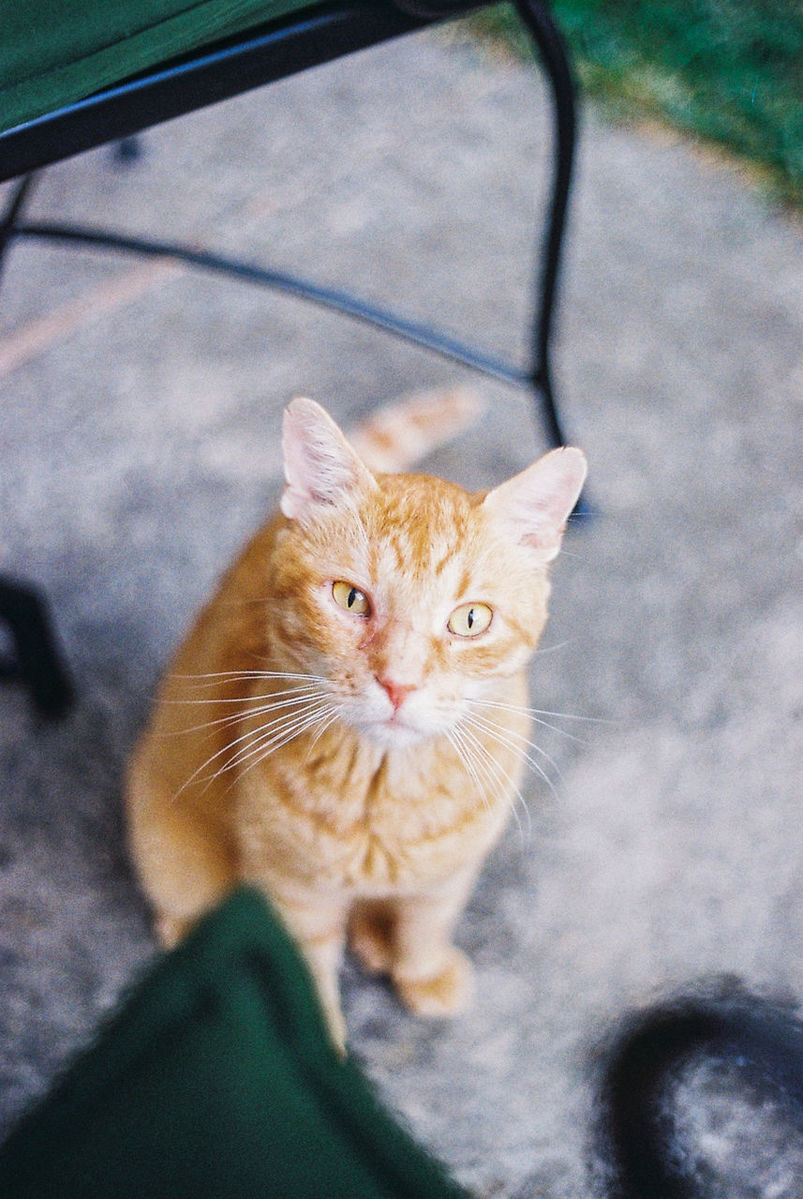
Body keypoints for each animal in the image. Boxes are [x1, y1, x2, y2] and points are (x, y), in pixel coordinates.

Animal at [128, 395, 587, 1050]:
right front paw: (319, 1049)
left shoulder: (451, 871)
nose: (399, 682)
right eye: (350, 598)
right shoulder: (288, 892)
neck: (385, 790)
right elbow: (305, 970)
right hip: (175, 859)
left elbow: (428, 922)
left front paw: (421, 972)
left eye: (470, 619)